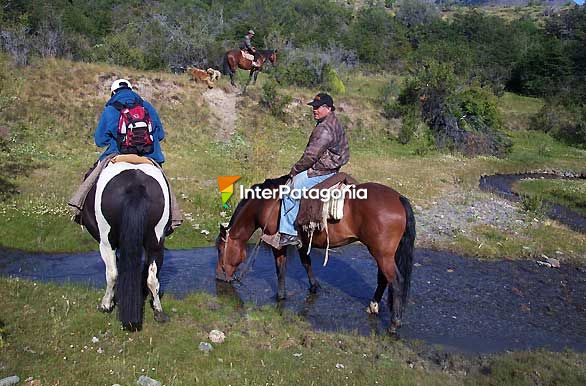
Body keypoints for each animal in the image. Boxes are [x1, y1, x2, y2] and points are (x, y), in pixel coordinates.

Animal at [80, 161, 171, 330]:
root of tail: (136, 186)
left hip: (106, 242)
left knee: (112, 274)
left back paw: (106, 305)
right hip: (155, 243)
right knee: (152, 278)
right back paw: (159, 311)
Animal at [216, 176, 416, 330]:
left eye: (220, 249)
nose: (218, 276)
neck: (267, 205)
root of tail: (398, 198)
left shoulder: (278, 244)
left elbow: (280, 269)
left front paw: (280, 297)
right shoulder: (302, 243)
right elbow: (306, 263)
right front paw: (314, 287)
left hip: (381, 253)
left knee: (396, 280)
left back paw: (394, 323)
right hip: (382, 252)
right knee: (383, 278)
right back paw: (373, 307)